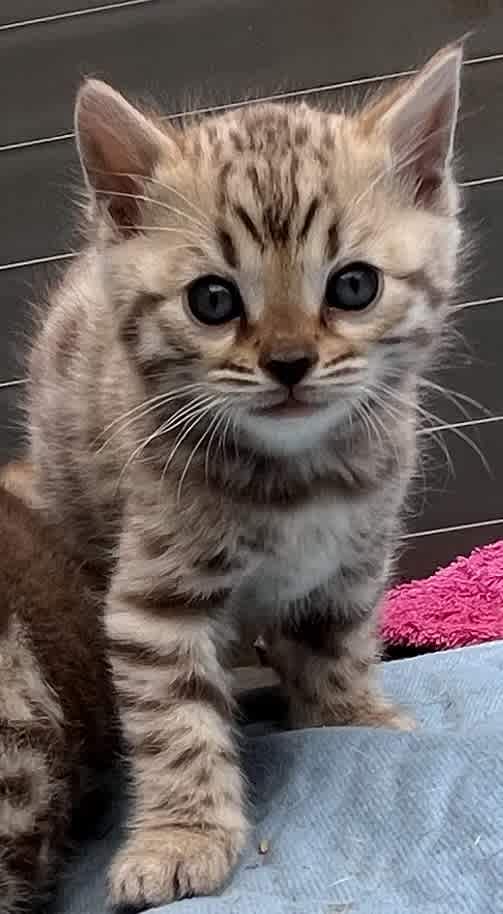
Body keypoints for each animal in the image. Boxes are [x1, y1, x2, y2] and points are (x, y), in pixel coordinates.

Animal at [25, 41, 462, 904]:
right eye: (213, 300)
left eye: (353, 285)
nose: (289, 362)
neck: (297, 476)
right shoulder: (154, 600)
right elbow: (174, 720)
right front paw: (180, 834)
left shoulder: (351, 566)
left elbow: (337, 651)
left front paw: (347, 720)